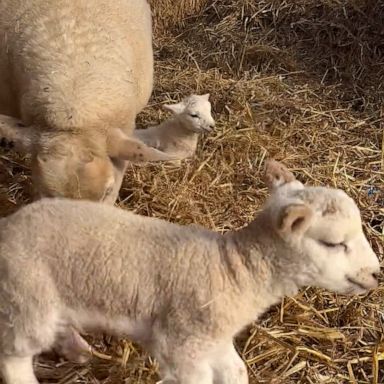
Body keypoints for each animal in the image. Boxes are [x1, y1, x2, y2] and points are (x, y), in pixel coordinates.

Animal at [0, 160, 380, 384]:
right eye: (333, 243)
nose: (376, 274)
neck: (236, 269)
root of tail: (8, 226)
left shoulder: (216, 339)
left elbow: (237, 372)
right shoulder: (184, 345)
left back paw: (78, 350)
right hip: (27, 297)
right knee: (13, 358)